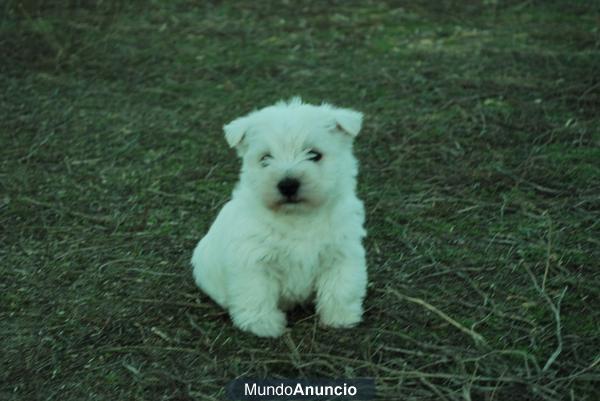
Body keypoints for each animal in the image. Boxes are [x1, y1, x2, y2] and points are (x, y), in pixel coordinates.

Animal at [192, 97, 368, 338]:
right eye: (265, 158)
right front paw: (262, 324)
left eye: (315, 154)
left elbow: (342, 286)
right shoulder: (253, 258)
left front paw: (340, 317)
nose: (288, 184)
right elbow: (255, 292)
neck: (298, 218)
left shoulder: (342, 252)